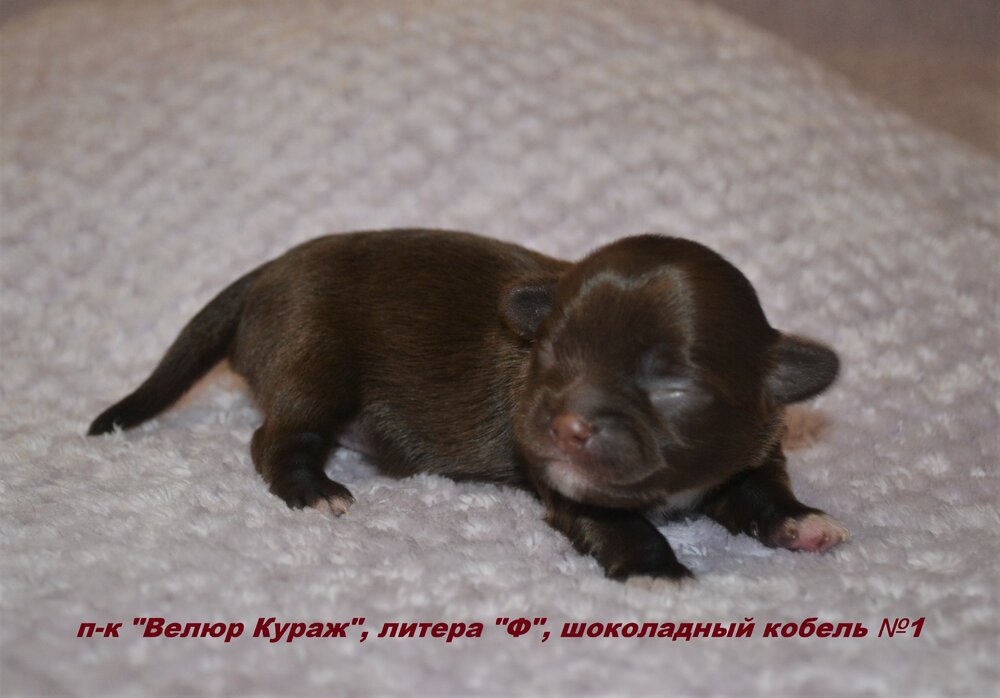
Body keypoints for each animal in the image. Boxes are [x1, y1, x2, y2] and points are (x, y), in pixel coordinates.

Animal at [89, 230, 847, 580]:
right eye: (551, 356)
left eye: (676, 388)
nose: (566, 424)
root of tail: (266, 271)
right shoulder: (568, 485)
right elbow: (615, 520)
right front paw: (656, 570)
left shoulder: (752, 450)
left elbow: (762, 492)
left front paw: (802, 522)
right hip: (314, 363)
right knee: (273, 438)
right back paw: (314, 491)